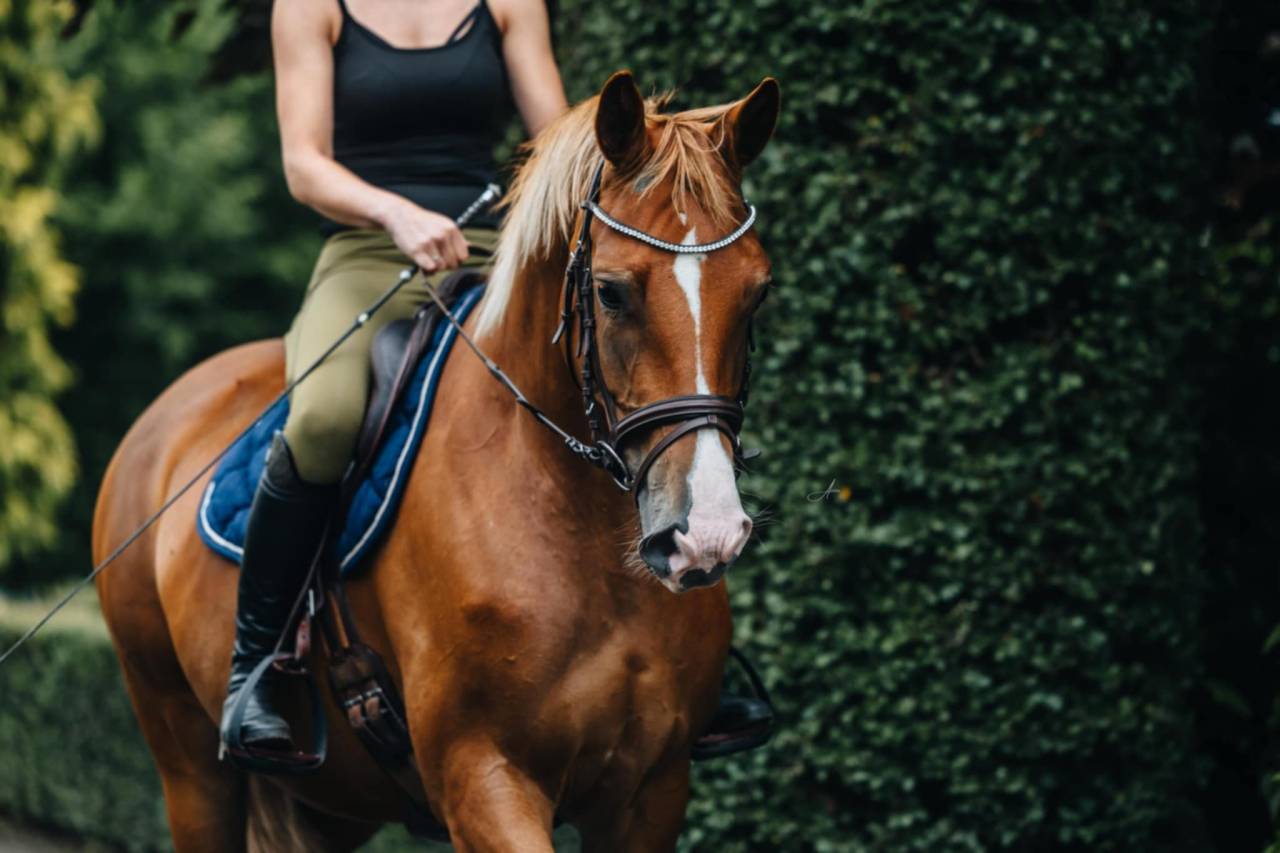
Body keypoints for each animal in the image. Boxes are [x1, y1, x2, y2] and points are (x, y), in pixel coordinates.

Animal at [93, 70, 780, 851]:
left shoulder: (651, 792)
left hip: (330, 806)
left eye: (758, 292)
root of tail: (161, 420)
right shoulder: (482, 777)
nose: (707, 532)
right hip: (187, 763)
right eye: (610, 291)